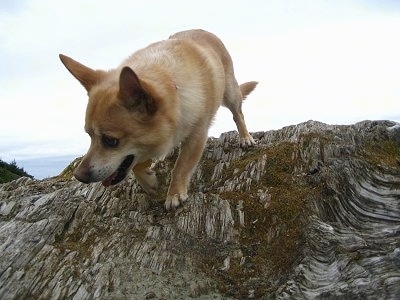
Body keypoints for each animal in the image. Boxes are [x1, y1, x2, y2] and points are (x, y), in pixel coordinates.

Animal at [61, 29, 258, 210]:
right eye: (89, 136)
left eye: (111, 141)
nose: (79, 176)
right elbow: (136, 165)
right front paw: (149, 182)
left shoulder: (197, 136)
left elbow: (181, 166)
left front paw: (174, 193)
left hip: (230, 92)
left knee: (238, 114)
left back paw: (245, 137)